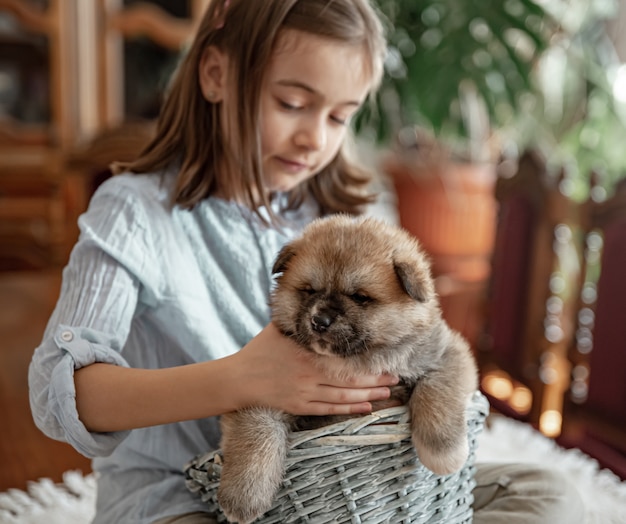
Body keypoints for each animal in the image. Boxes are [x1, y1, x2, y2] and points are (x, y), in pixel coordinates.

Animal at [217, 214, 476, 524]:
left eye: (360, 297)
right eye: (309, 290)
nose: (319, 321)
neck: (352, 362)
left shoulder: (447, 354)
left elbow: (436, 393)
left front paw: (444, 455)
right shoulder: (263, 390)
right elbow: (256, 434)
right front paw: (242, 498)